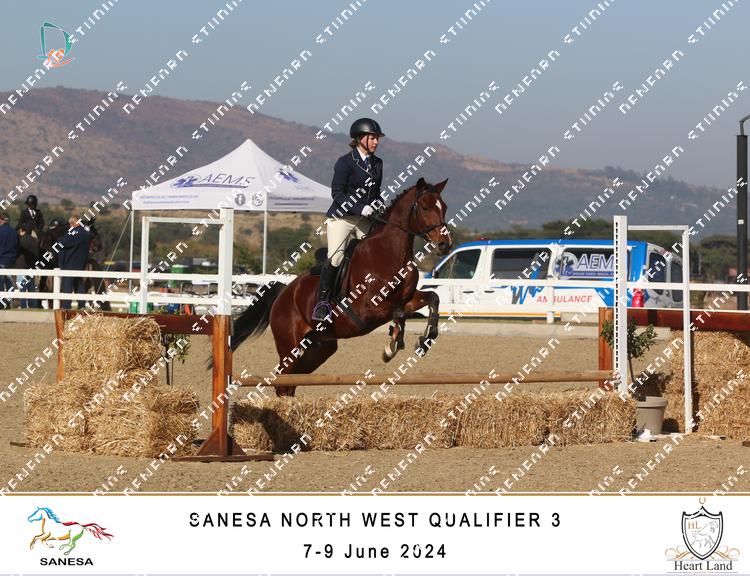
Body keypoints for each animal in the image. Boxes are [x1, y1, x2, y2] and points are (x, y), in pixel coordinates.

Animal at [232, 177, 452, 396]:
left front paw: (425, 340)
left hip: (319, 348)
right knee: (281, 379)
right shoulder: (368, 309)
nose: (445, 244)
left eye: (444, 207)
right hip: (290, 345)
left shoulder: (407, 299)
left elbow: (432, 298)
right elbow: (398, 313)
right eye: (425, 207)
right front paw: (391, 347)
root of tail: (283, 293)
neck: (390, 254)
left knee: (290, 382)